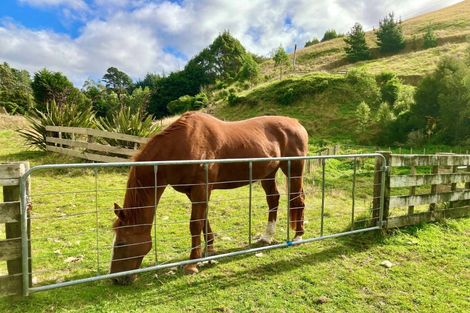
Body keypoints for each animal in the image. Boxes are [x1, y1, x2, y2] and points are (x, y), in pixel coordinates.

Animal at [110, 111, 308, 284]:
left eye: (120, 243)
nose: (116, 279)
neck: (180, 145)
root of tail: (296, 123)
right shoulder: (193, 192)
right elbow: (203, 220)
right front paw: (209, 251)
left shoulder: (201, 188)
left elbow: (195, 224)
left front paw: (192, 265)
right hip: (268, 173)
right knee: (273, 199)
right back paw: (267, 237)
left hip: (293, 169)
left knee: (297, 199)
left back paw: (298, 236)